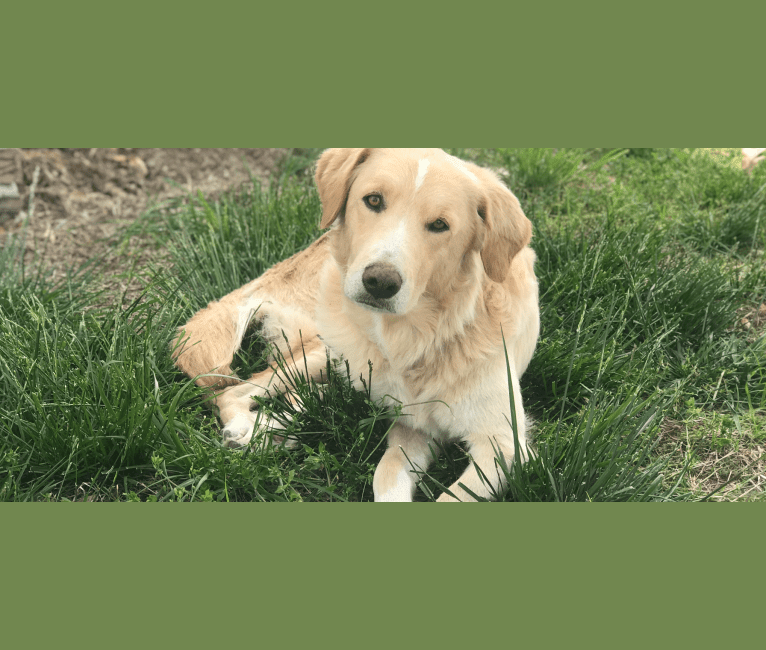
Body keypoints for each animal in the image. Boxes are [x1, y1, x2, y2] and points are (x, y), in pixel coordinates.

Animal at [177, 148, 544, 502]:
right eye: (374, 200)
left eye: (440, 224)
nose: (380, 282)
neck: (416, 337)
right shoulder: (415, 430)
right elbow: (386, 477)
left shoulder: (502, 445)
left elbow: (444, 497)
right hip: (331, 348)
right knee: (233, 393)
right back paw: (251, 430)